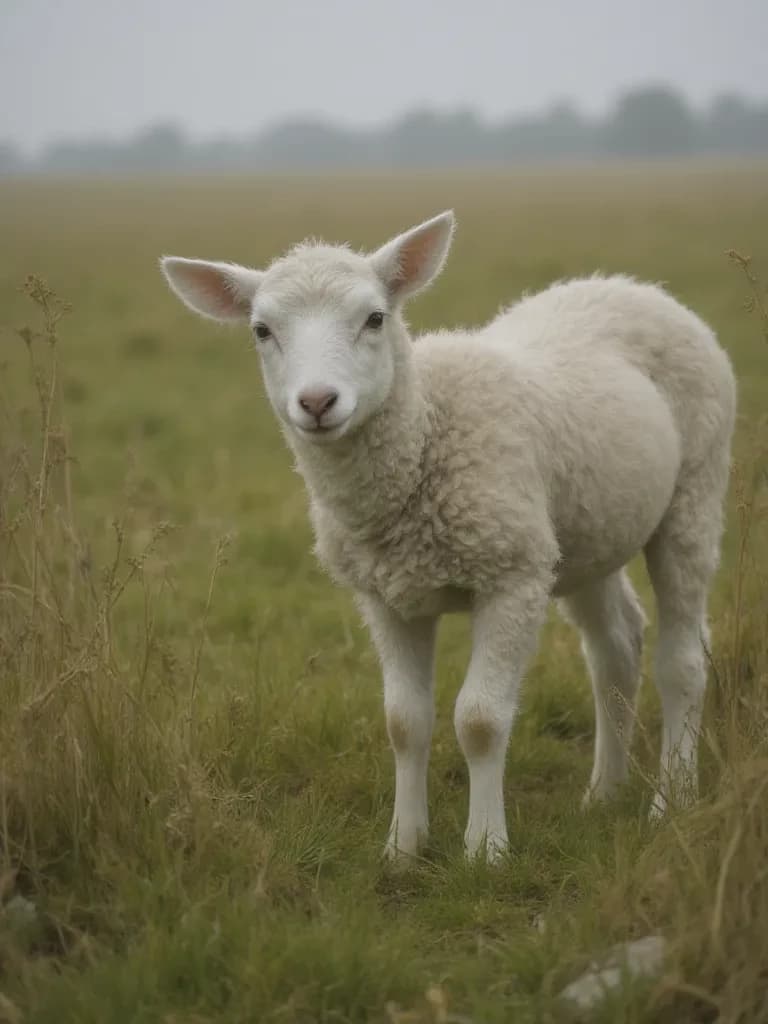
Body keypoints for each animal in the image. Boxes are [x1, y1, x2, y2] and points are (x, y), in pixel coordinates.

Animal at [160, 211, 736, 862]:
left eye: (374, 318)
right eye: (262, 330)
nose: (317, 402)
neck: (425, 433)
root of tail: (630, 285)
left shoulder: (511, 578)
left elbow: (480, 720)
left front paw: (485, 848)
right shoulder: (386, 596)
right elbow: (404, 722)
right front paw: (403, 847)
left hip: (693, 492)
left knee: (681, 659)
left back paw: (672, 801)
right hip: (582, 531)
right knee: (615, 647)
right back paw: (603, 794)